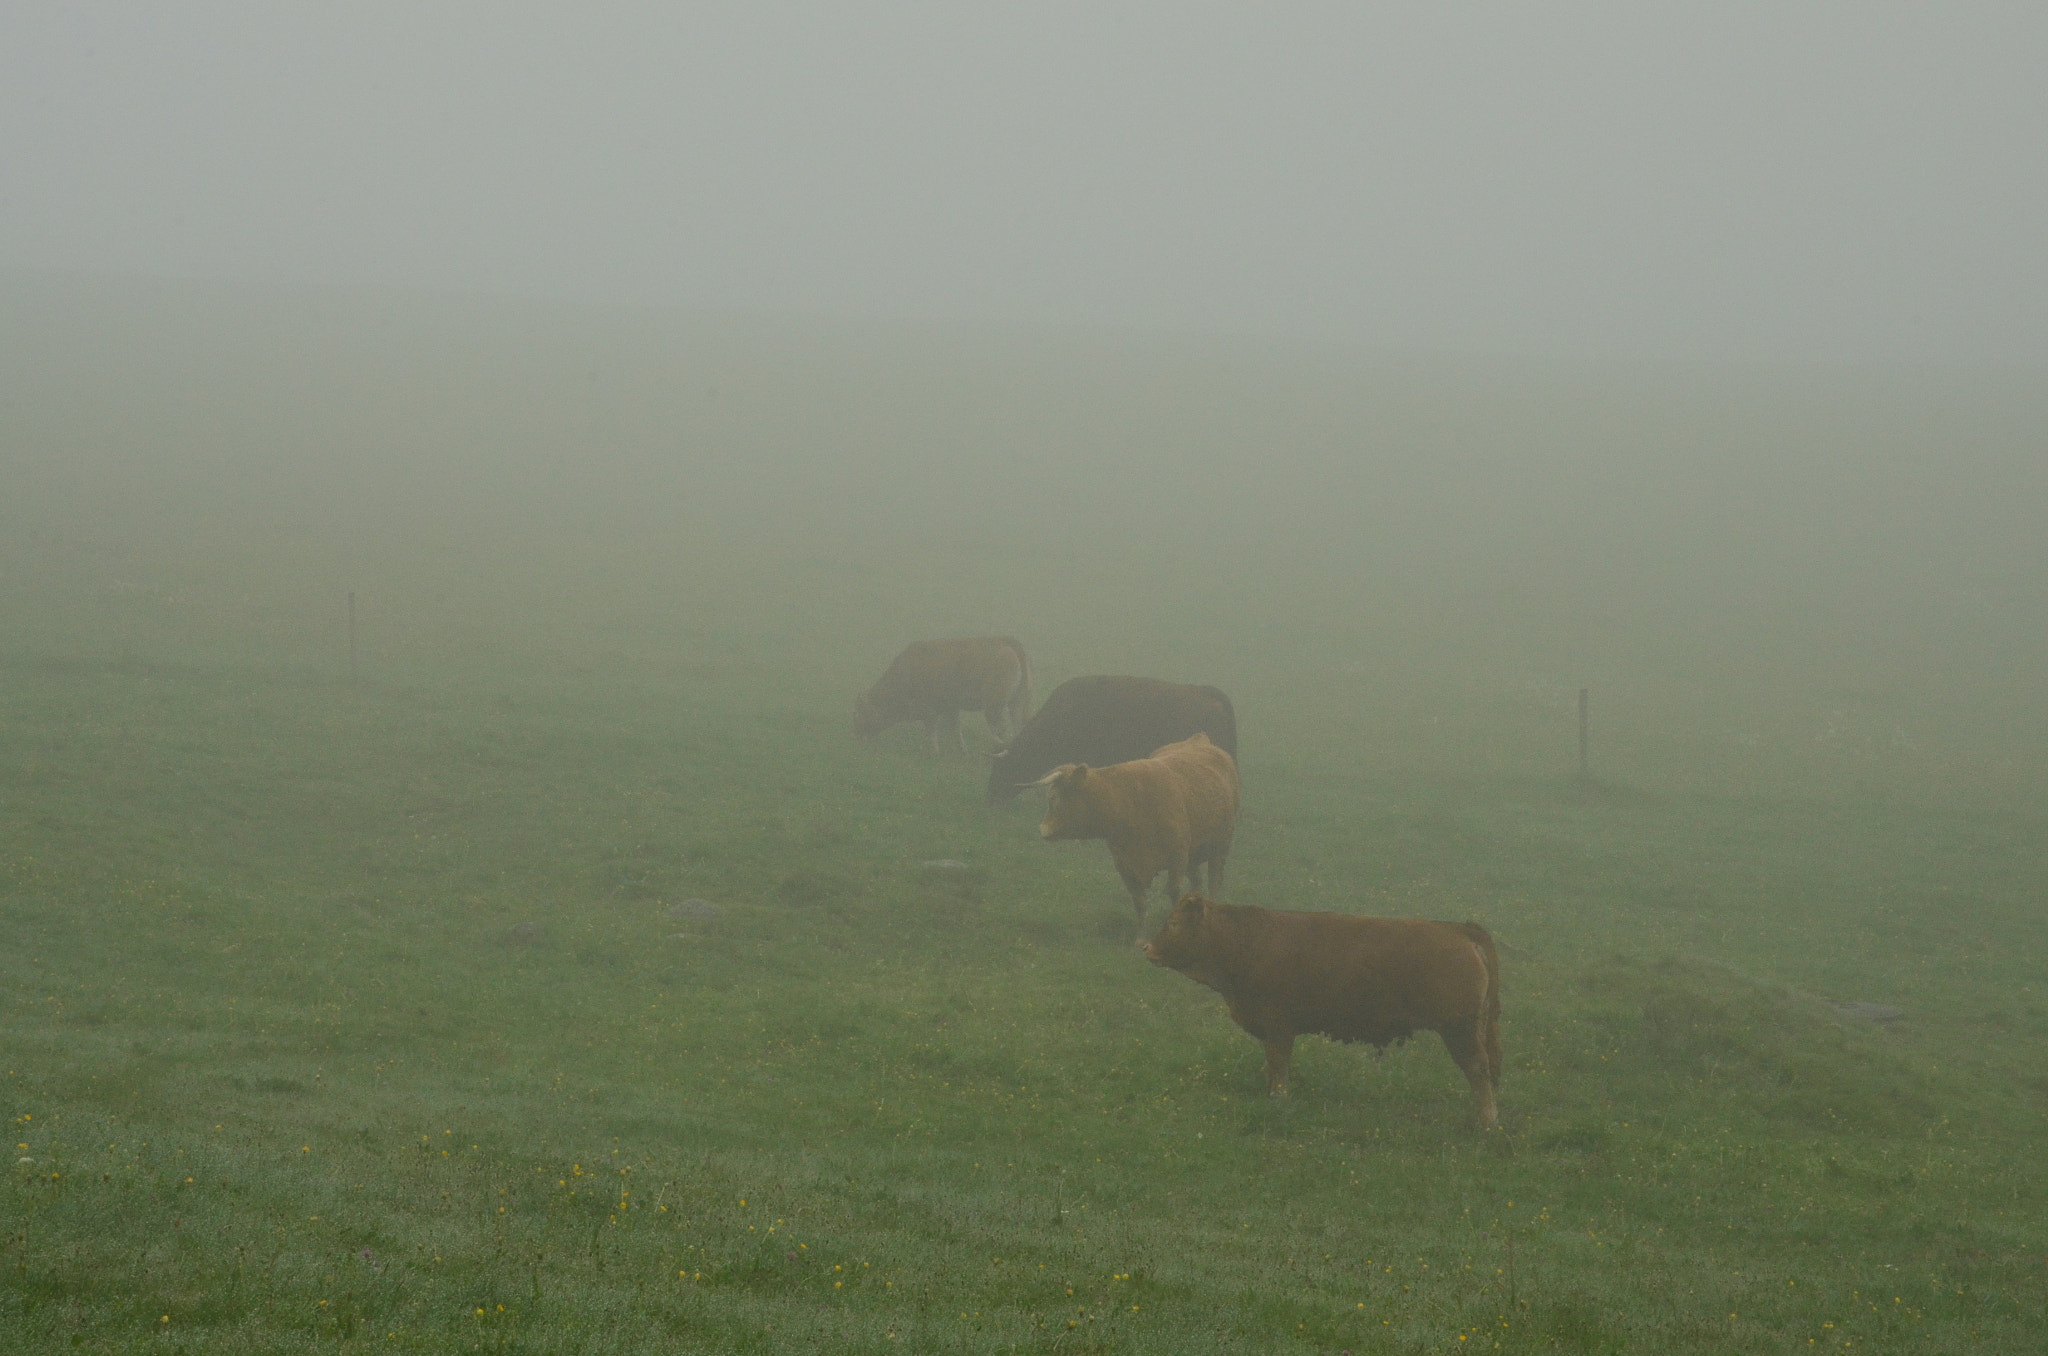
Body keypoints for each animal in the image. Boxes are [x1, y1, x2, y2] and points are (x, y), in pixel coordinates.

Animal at [851, 639, 1032, 753]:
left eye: (858, 714)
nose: (856, 737)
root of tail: (1008, 642)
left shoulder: (928, 711)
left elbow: (932, 731)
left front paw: (935, 752)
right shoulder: (951, 708)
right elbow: (956, 730)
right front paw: (962, 750)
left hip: (993, 706)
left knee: (999, 729)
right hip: (1016, 703)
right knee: (1017, 726)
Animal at [1040, 737, 1228, 929]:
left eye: (1053, 798)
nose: (1042, 829)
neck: (1126, 801)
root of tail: (1198, 739)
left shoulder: (1178, 859)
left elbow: (1174, 893)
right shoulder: (1125, 865)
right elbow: (1140, 902)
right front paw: (1141, 935)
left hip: (1220, 847)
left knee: (1214, 881)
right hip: (1194, 857)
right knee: (1197, 882)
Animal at [1138, 897, 1507, 1130]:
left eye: (1173, 924)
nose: (1147, 948)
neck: (1245, 940)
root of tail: (1459, 929)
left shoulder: (1278, 1026)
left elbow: (1279, 1064)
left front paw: (1278, 1099)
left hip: (1459, 1031)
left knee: (1478, 1069)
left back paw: (1486, 1122)